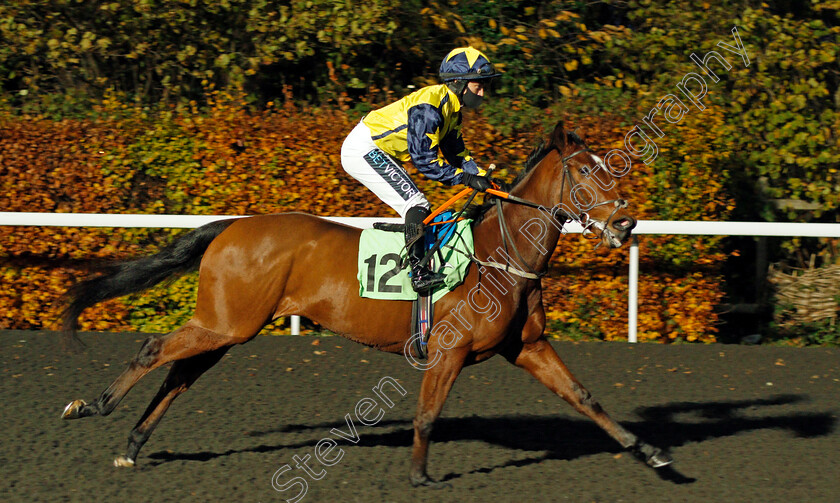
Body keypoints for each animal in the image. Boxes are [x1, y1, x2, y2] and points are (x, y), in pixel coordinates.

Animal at [62, 120, 672, 486]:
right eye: (588, 170)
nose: (626, 223)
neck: (500, 255)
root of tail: (234, 225)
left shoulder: (528, 347)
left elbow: (586, 397)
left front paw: (650, 453)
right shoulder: (447, 352)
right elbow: (426, 414)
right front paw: (420, 477)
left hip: (230, 325)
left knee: (180, 374)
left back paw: (133, 444)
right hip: (226, 322)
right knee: (153, 350)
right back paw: (90, 406)